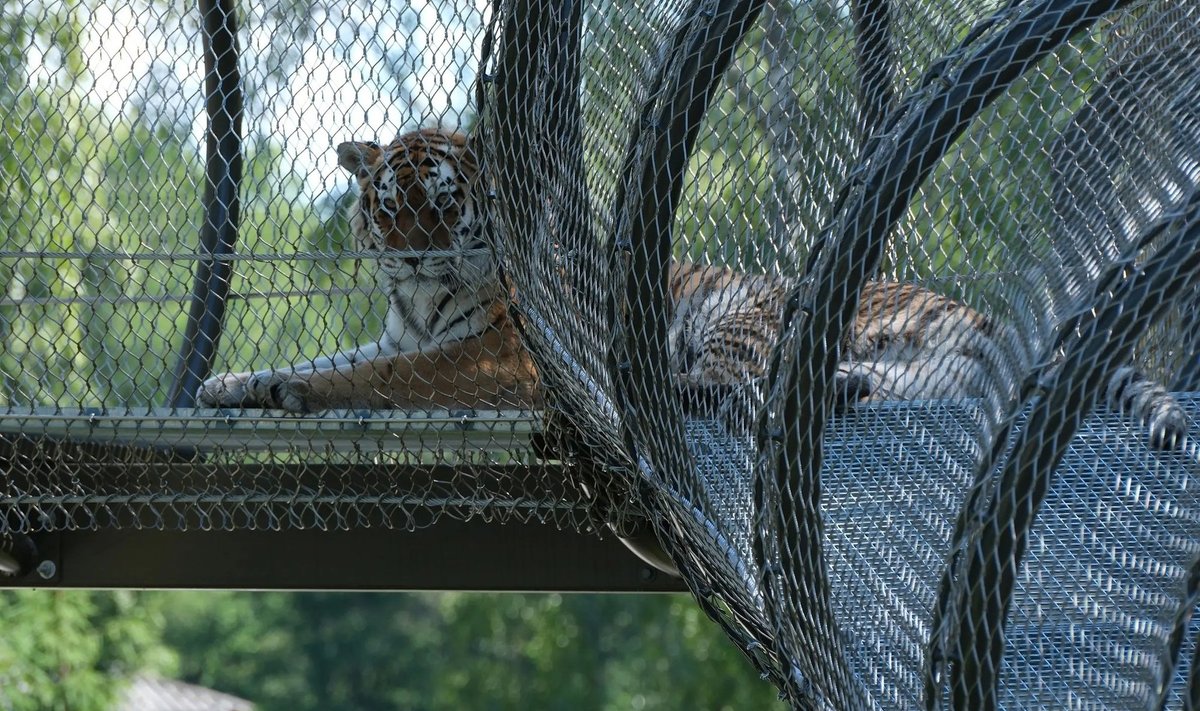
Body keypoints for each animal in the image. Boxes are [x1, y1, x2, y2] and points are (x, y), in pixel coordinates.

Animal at [192, 126, 1185, 449]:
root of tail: (969, 308)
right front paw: (232, 381)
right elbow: (338, 357)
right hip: (906, 365)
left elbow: (376, 376)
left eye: (443, 205)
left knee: (727, 387)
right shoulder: (404, 331)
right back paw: (845, 388)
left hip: (748, 312)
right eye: (390, 206)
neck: (421, 306)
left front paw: (287, 390)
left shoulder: (497, 359)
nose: (408, 257)